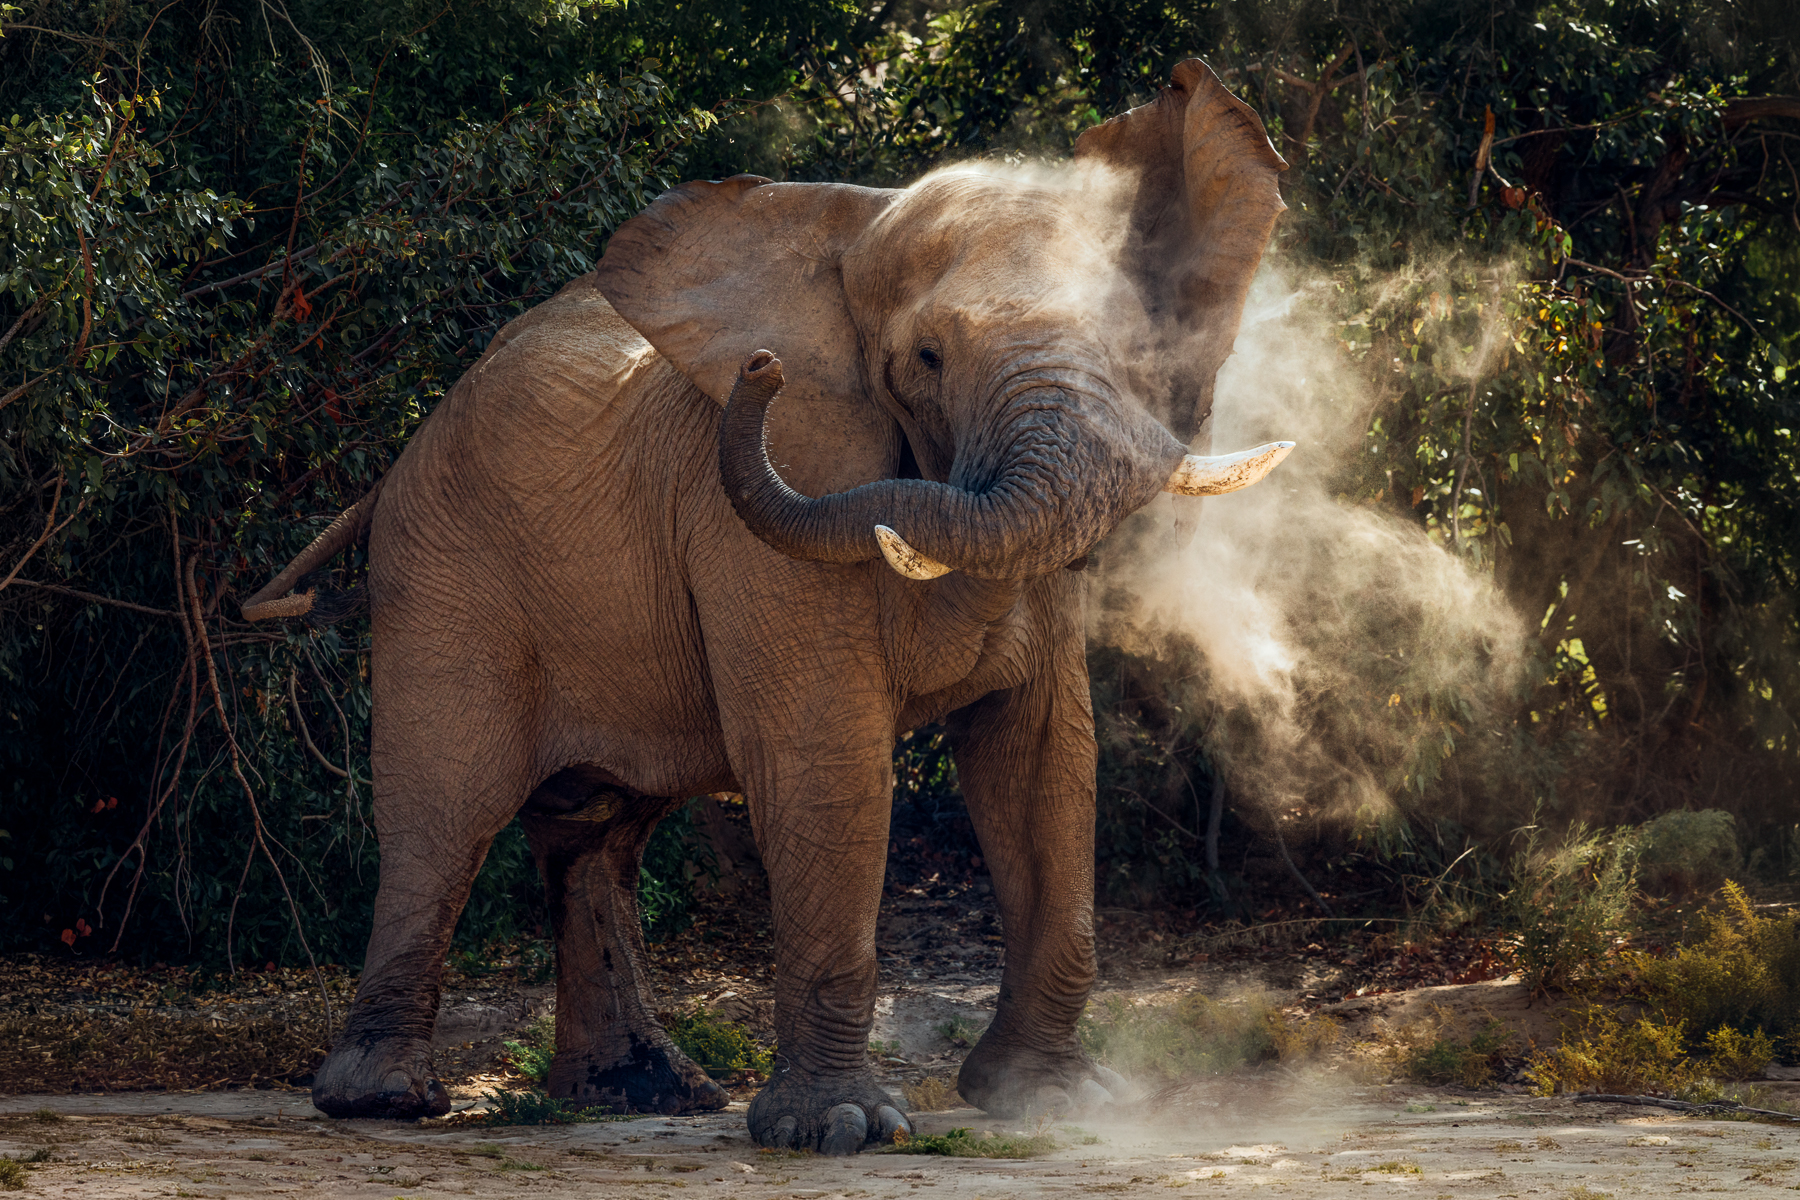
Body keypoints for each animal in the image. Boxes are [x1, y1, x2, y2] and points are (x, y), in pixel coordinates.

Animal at [241, 59, 1291, 1153]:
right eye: (924, 359)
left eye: (1134, 345)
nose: (761, 368)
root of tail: (394, 465)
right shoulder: (752, 520)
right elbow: (825, 757)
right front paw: (843, 1131)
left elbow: (1044, 755)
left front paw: (1053, 1101)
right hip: (446, 575)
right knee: (444, 819)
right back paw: (386, 1101)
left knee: (596, 827)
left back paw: (642, 1093)